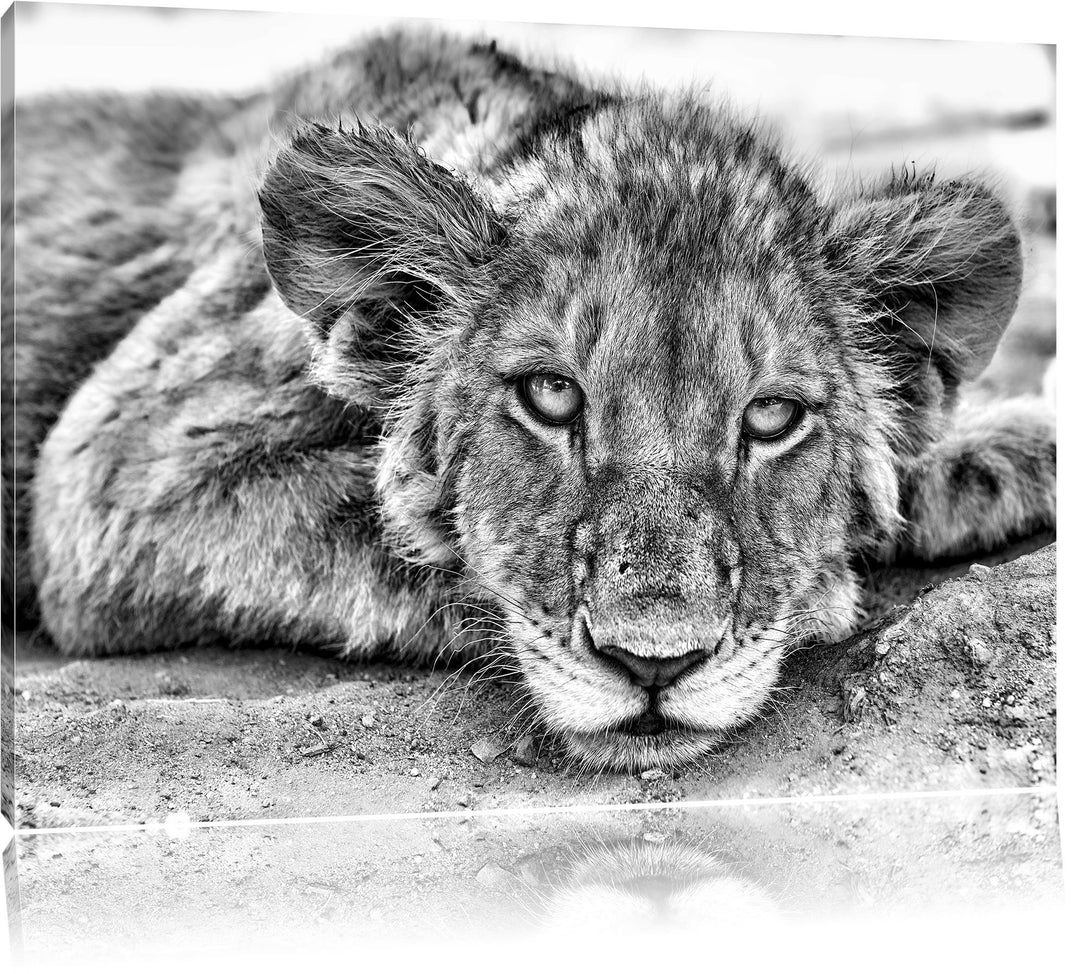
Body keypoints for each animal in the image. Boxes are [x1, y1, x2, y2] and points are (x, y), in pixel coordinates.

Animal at [2, 30, 1056, 771]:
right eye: (550, 396)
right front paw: (828, 589)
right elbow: (407, 531)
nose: (657, 664)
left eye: (771, 418)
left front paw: (1014, 447)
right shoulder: (117, 476)